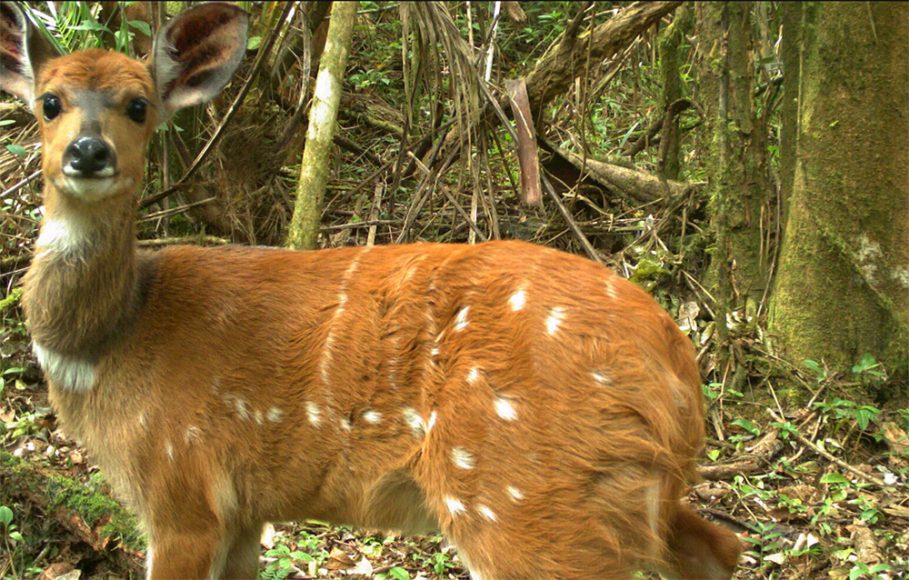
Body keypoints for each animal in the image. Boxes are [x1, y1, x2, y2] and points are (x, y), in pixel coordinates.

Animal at [0, 4, 740, 580]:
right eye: (48, 102)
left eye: (138, 106)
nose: (89, 153)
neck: (113, 342)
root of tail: (679, 372)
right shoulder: (244, 511)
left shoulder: (182, 488)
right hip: (629, 495)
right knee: (720, 548)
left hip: (524, 501)